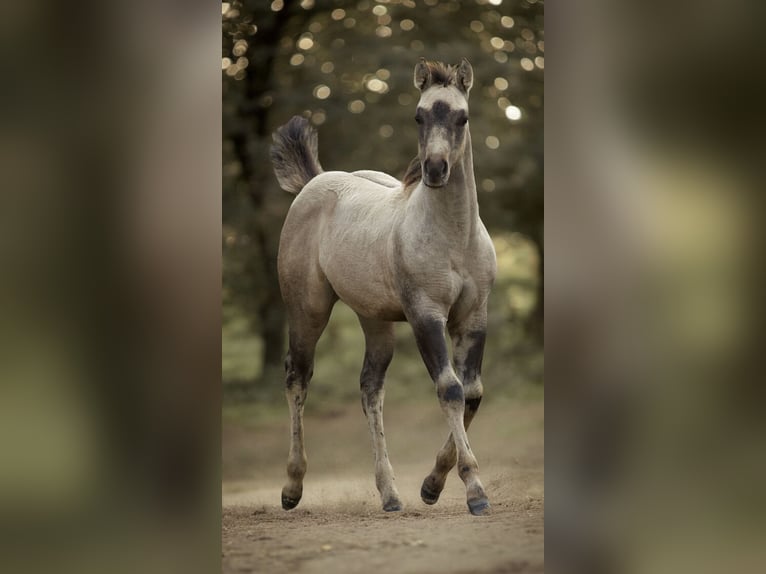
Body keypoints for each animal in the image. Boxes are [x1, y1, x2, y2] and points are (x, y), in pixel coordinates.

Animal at [270, 58, 498, 516]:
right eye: (419, 116)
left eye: (462, 117)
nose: (435, 170)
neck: (454, 236)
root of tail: (315, 181)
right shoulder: (425, 316)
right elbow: (450, 389)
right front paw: (475, 491)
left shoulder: (474, 317)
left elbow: (473, 393)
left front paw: (432, 485)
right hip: (307, 310)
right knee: (297, 377)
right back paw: (292, 488)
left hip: (374, 319)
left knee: (370, 388)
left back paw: (390, 494)